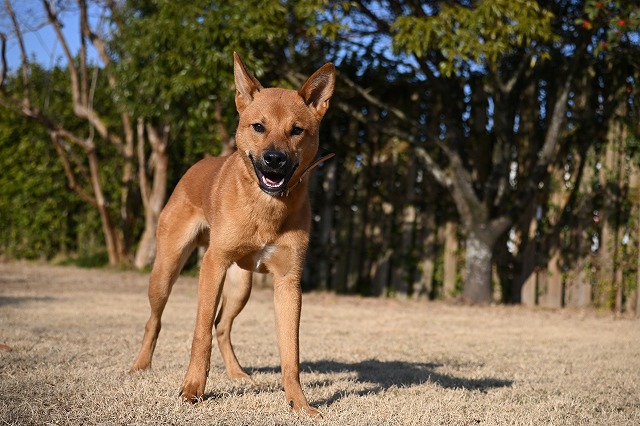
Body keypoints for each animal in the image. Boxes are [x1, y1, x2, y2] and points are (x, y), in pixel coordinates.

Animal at [130, 53, 335, 417]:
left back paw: (238, 374)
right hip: (166, 270)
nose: (274, 159)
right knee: (155, 320)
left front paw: (299, 403)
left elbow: (291, 354)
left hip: (242, 286)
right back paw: (141, 365)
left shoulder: (288, 283)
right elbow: (199, 334)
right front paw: (192, 389)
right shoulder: (213, 266)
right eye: (258, 126)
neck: (266, 207)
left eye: (297, 130)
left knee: (222, 326)